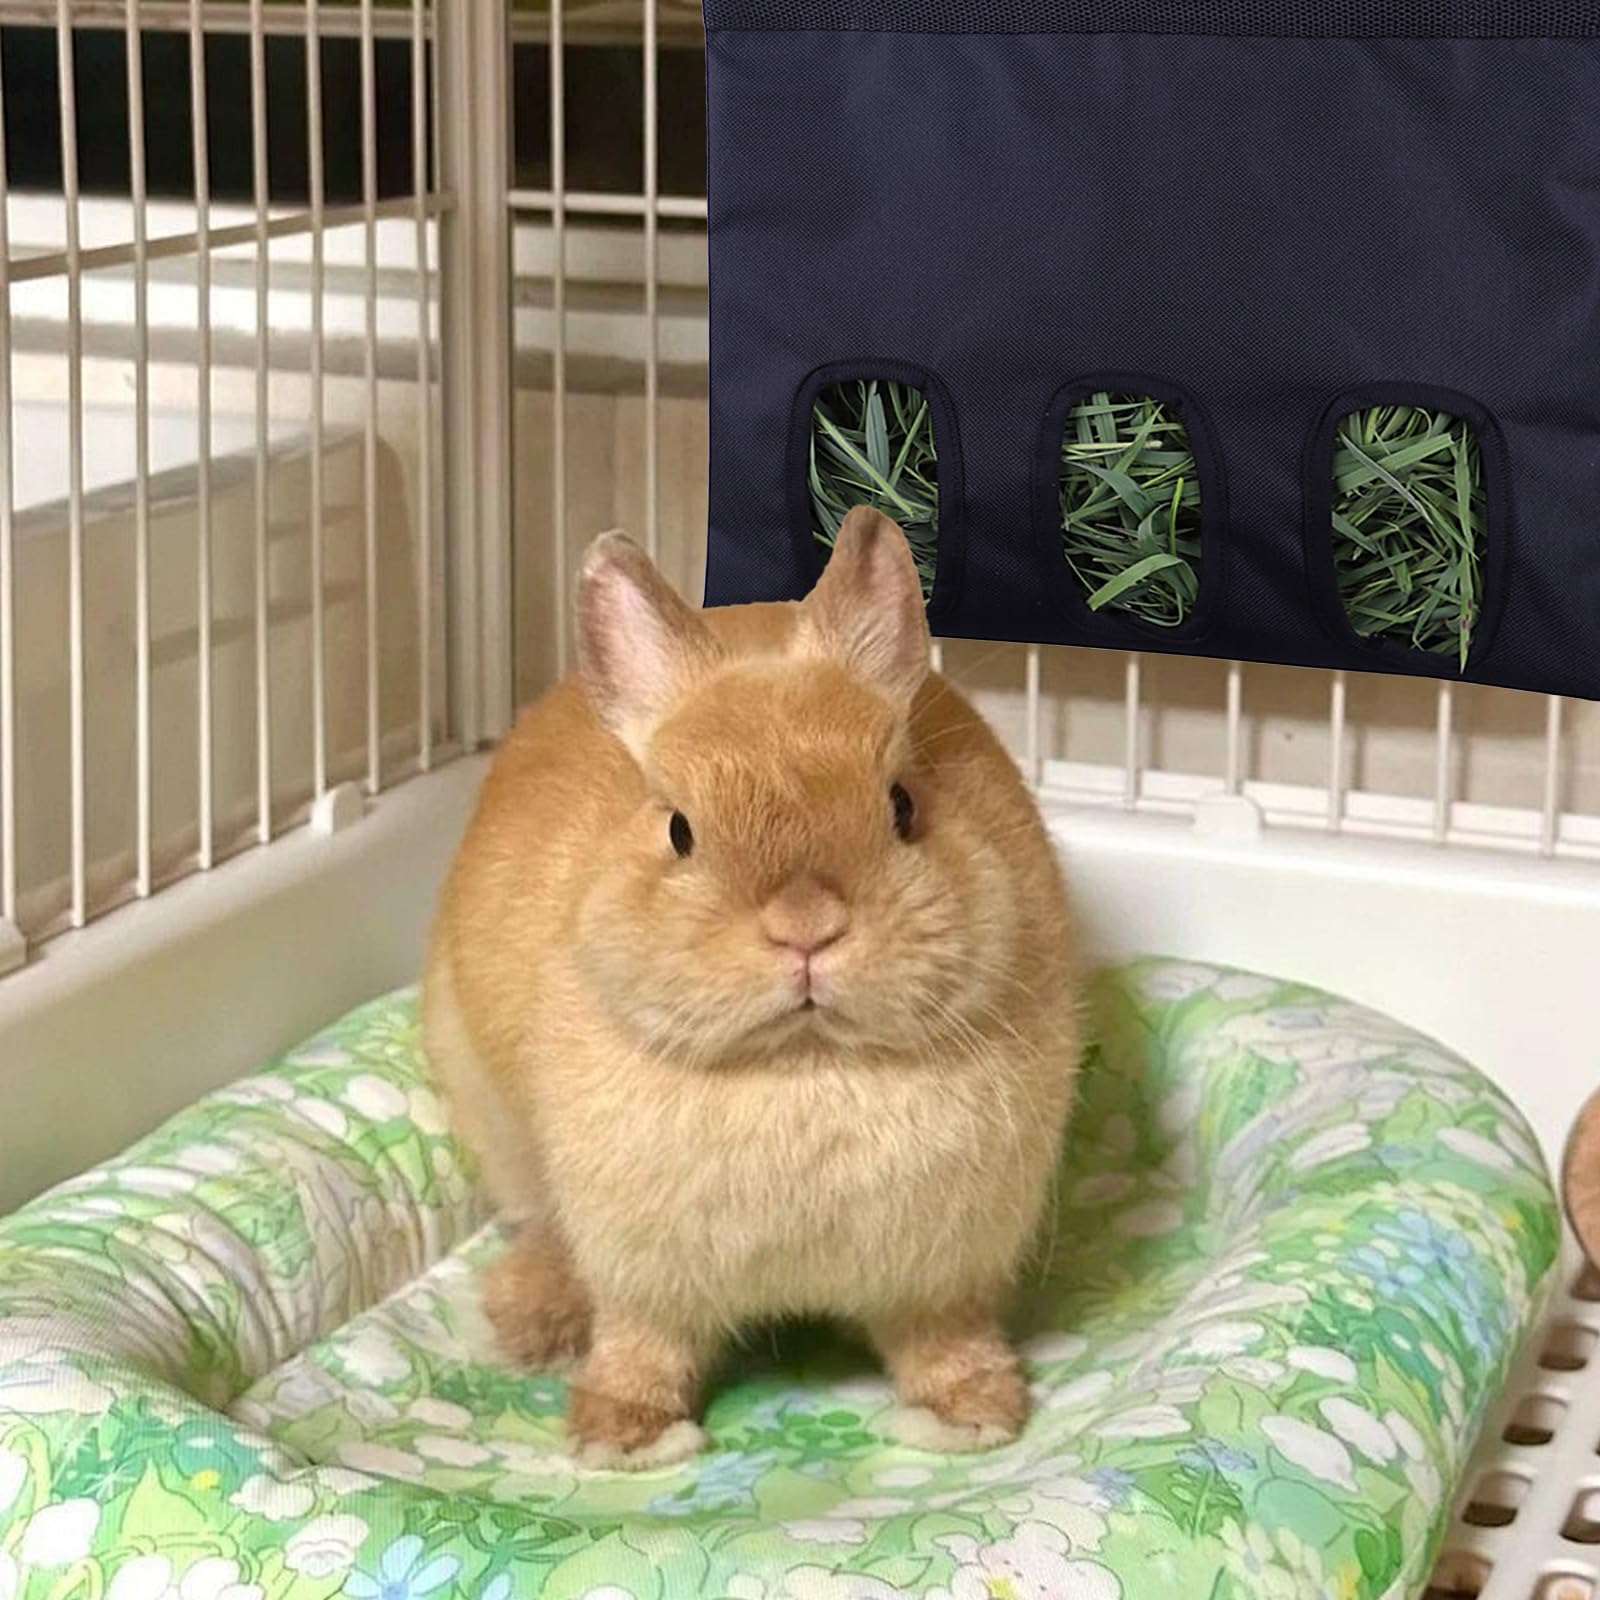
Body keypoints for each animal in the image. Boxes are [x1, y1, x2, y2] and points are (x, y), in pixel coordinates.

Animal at [422, 505, 1082, 1469]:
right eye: (679, 830)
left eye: (903, 806)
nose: (806, 924)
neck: (800, 1062)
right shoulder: (642, 1276)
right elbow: (641, 1345)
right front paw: (625, 1439)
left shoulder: (941, 1277)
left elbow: (942, 1339)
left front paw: (972, 1415)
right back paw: (533, 1321)